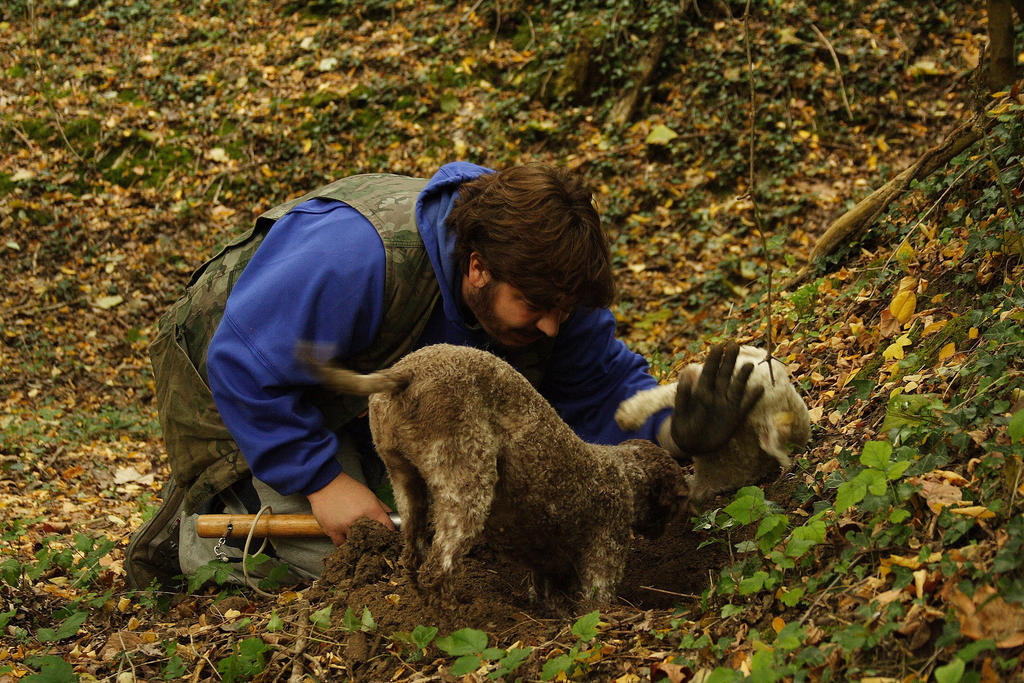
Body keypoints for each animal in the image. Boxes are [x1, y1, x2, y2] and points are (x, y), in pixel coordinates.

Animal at [301, 344, 688, 606]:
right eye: (672, 505)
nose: (661, 532)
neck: (624, 474)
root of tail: (406, 374)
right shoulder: (605, 553)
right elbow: (594, 605)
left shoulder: (545, 566)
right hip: (467, 483)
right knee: (437, 569)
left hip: (405, 483)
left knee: (412, 558)